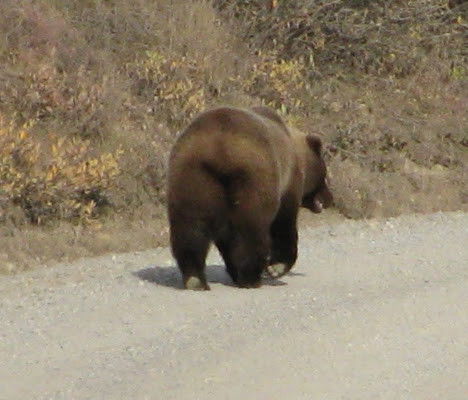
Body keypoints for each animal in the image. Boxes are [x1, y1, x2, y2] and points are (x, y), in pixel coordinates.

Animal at [166, 104, 330, 290]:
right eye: (325, 175)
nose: (329, 198)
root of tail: (218, 145)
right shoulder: (288, 183)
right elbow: (283, 223)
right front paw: (276, 267)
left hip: (192, 175)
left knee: (190, 227)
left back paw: (195, 279)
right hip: (252, 176)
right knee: (251, 228)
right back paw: (251, 277)